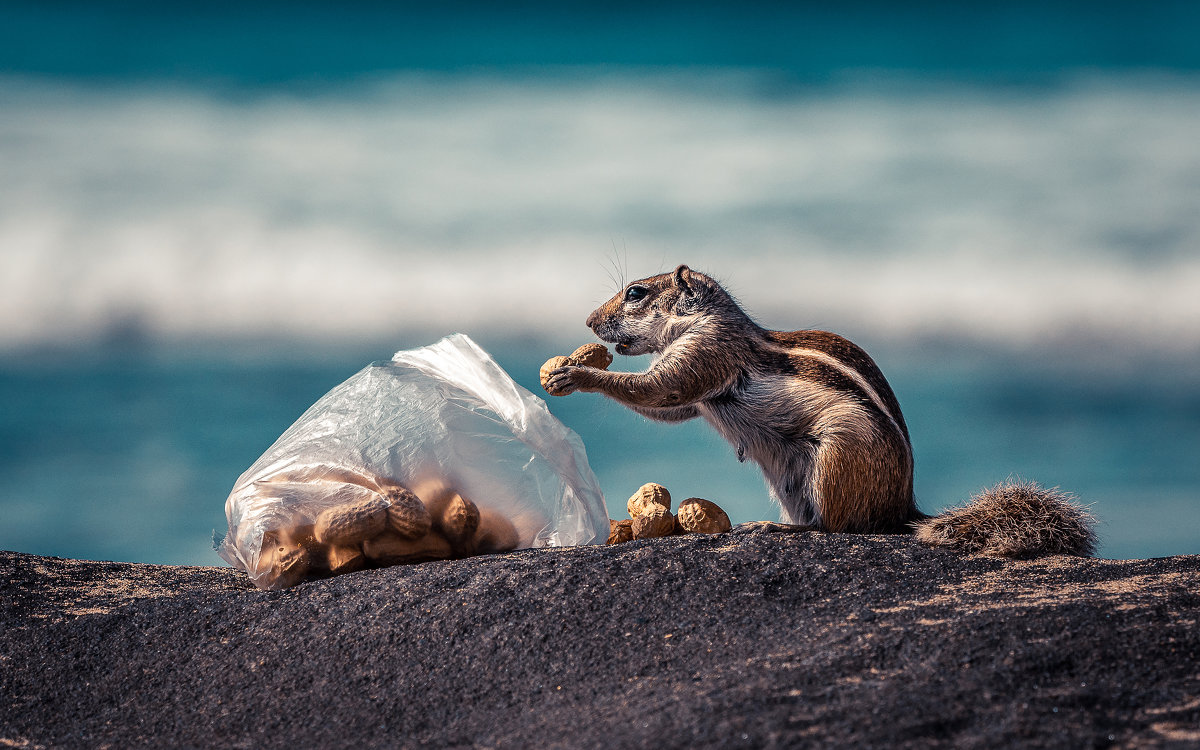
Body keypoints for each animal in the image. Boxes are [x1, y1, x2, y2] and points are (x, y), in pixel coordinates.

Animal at [547, 262, 1099, 556]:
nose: (589, 321)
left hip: (834, 459)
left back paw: (775, 529)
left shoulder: (707, 355)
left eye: (636, 293)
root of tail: (901, 507)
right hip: (790, 479)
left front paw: (576, 374)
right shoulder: (699, 386)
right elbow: (670, 408)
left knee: (837, 526)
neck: (706, 320)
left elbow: (661, 389)